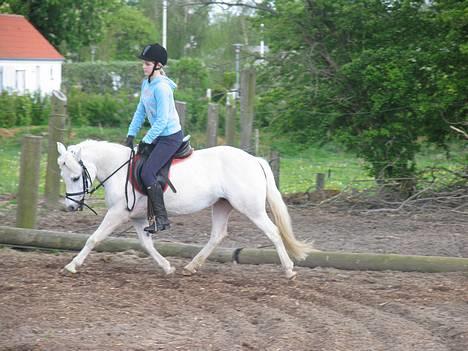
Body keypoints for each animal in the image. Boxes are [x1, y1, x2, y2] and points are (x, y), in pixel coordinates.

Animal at [57, 141, 314, 280]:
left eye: (76, 177)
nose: (70, 206)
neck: (119, 170)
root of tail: (253, 160)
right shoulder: (137, 217)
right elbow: (146, 244)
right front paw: (167, 267)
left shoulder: (118, 213)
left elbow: (94, 238)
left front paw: (72, 265)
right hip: (222, 205)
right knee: (217, 235)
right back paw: (191, 267)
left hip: (251, 208)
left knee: (273, 232)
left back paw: (289, 270)